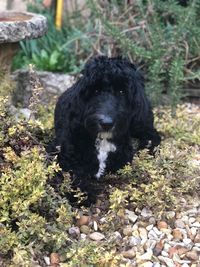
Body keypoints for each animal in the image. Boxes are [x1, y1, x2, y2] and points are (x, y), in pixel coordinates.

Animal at [53, 56, 161, 203]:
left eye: (122, 91)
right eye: (95, 91)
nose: (106, 123)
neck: (103, 139)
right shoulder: (62, 153)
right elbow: (71, 173)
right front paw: (82, 194)